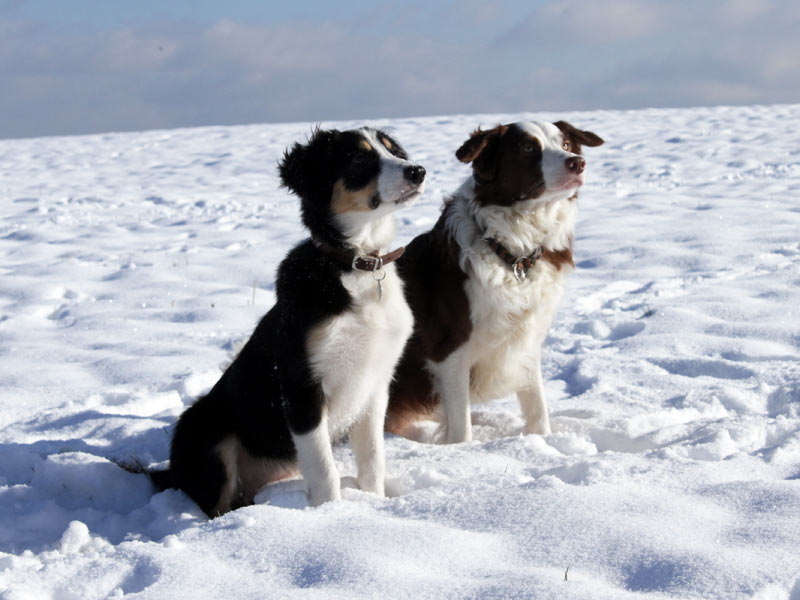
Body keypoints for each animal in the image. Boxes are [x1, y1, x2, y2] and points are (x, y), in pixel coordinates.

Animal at [152, 126, 424, 516]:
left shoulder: (374, 384)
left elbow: (373, 458)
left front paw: (374, 503)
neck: (355, 266)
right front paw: (332, 514)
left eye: (394, 151)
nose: (418, 171)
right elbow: (323, 467)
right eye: (358, 158)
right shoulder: (301, 386)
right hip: (207, 435)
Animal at [386, 119, 600, 442]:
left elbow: (537, 405)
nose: (578, 162)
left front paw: (543, 439)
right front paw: (464, 450)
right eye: (527, 148)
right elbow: (461, 427)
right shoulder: (449, 349)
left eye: (565, 144)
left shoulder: (526, 336)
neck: (513, 253)